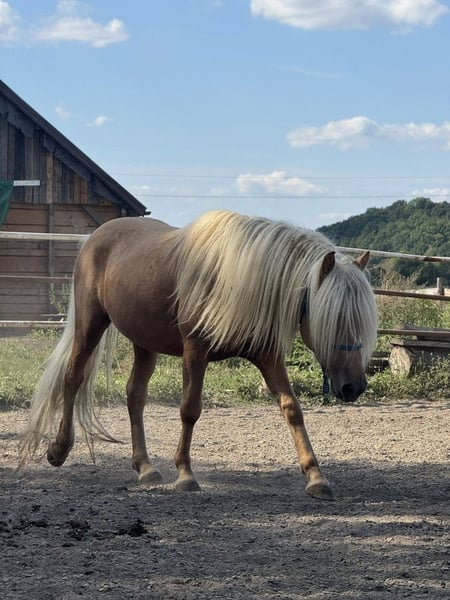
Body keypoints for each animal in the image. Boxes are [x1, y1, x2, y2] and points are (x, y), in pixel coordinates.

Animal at [19, 210, 378, 500]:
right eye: (334, 319)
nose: (354, 387)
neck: (237, 278)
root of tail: (96, 236)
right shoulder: (195, 351)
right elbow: (190, 410)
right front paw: (185, 474)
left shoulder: (267, 356)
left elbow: (292, 409)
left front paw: (316, 477)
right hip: (90, 325)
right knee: (73, 378)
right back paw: (59, 449)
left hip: (144, 342)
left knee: (135, 395)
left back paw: (145, 467)